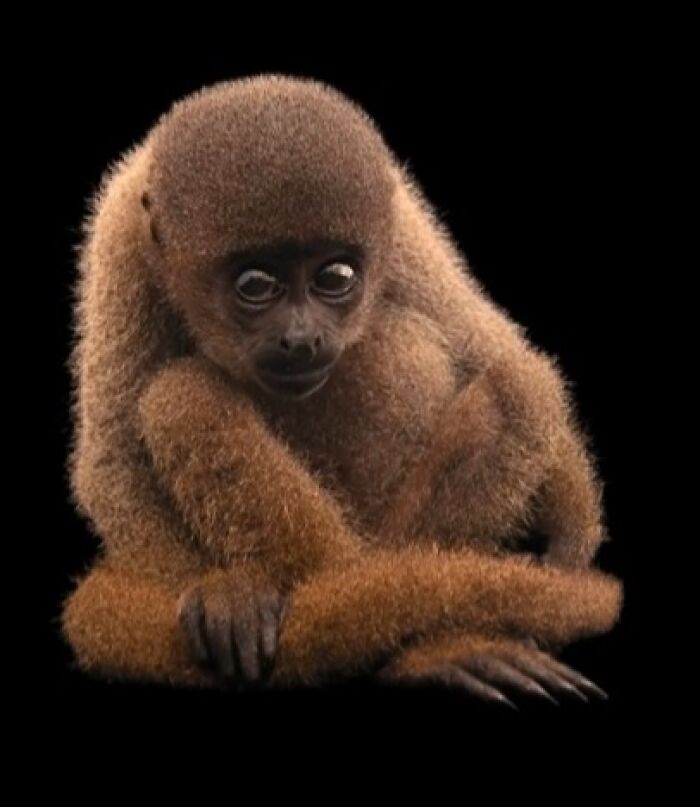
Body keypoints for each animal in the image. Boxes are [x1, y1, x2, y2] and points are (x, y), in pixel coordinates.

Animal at [61, 75, 622, 704]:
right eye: (255, 285)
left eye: (334, 277)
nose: (301, 338)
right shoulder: (120, 242)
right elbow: (113, 457)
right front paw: (223, 591)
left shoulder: (401, 226)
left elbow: (494, 349)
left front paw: (569, 530)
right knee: (182, 400)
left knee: (511, 388)